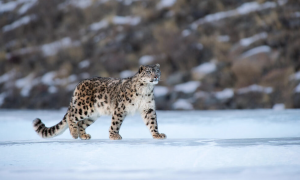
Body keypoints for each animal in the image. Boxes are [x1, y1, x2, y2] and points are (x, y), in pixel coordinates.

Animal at [32, 64, 166, 140]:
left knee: (81, 123)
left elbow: (152, 122)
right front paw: (114, 136)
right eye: (149, 72)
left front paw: (157, 134)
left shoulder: (148, 108)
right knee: (71, 115)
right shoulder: (120, 108)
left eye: (157, 71)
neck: (146, 89)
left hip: (93, 115)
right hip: (84, 108)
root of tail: (78, 84)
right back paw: (74, 133)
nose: (156, 76)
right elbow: (116, 123)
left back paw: (84, 136)